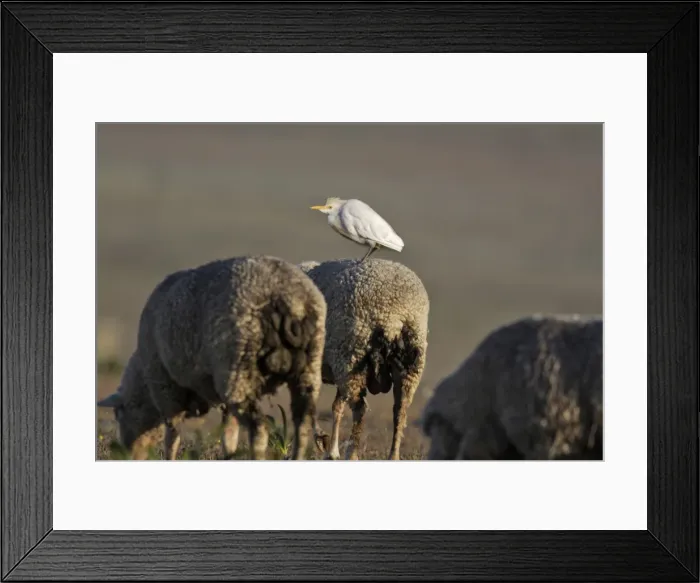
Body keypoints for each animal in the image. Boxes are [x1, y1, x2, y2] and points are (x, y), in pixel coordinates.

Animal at [97, 255, 328, 461]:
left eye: (118, 413)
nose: (128, 454)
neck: (143, 383)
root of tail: (285, 298)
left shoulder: (166, 390)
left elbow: (172, 438)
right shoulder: (220, 396)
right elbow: (229, 433)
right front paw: (229, 456)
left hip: (239, 371)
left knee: (259, 429)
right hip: (307, 369)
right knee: (302, 424)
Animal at [298, 258, 429, 460]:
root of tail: (394, 315)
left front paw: (323, 442)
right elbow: (335, 405)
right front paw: (329, 447)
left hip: (350, 355)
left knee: (360, 408)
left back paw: (351, 454)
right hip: (409, 363)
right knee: (400, 410)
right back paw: (393, 455)